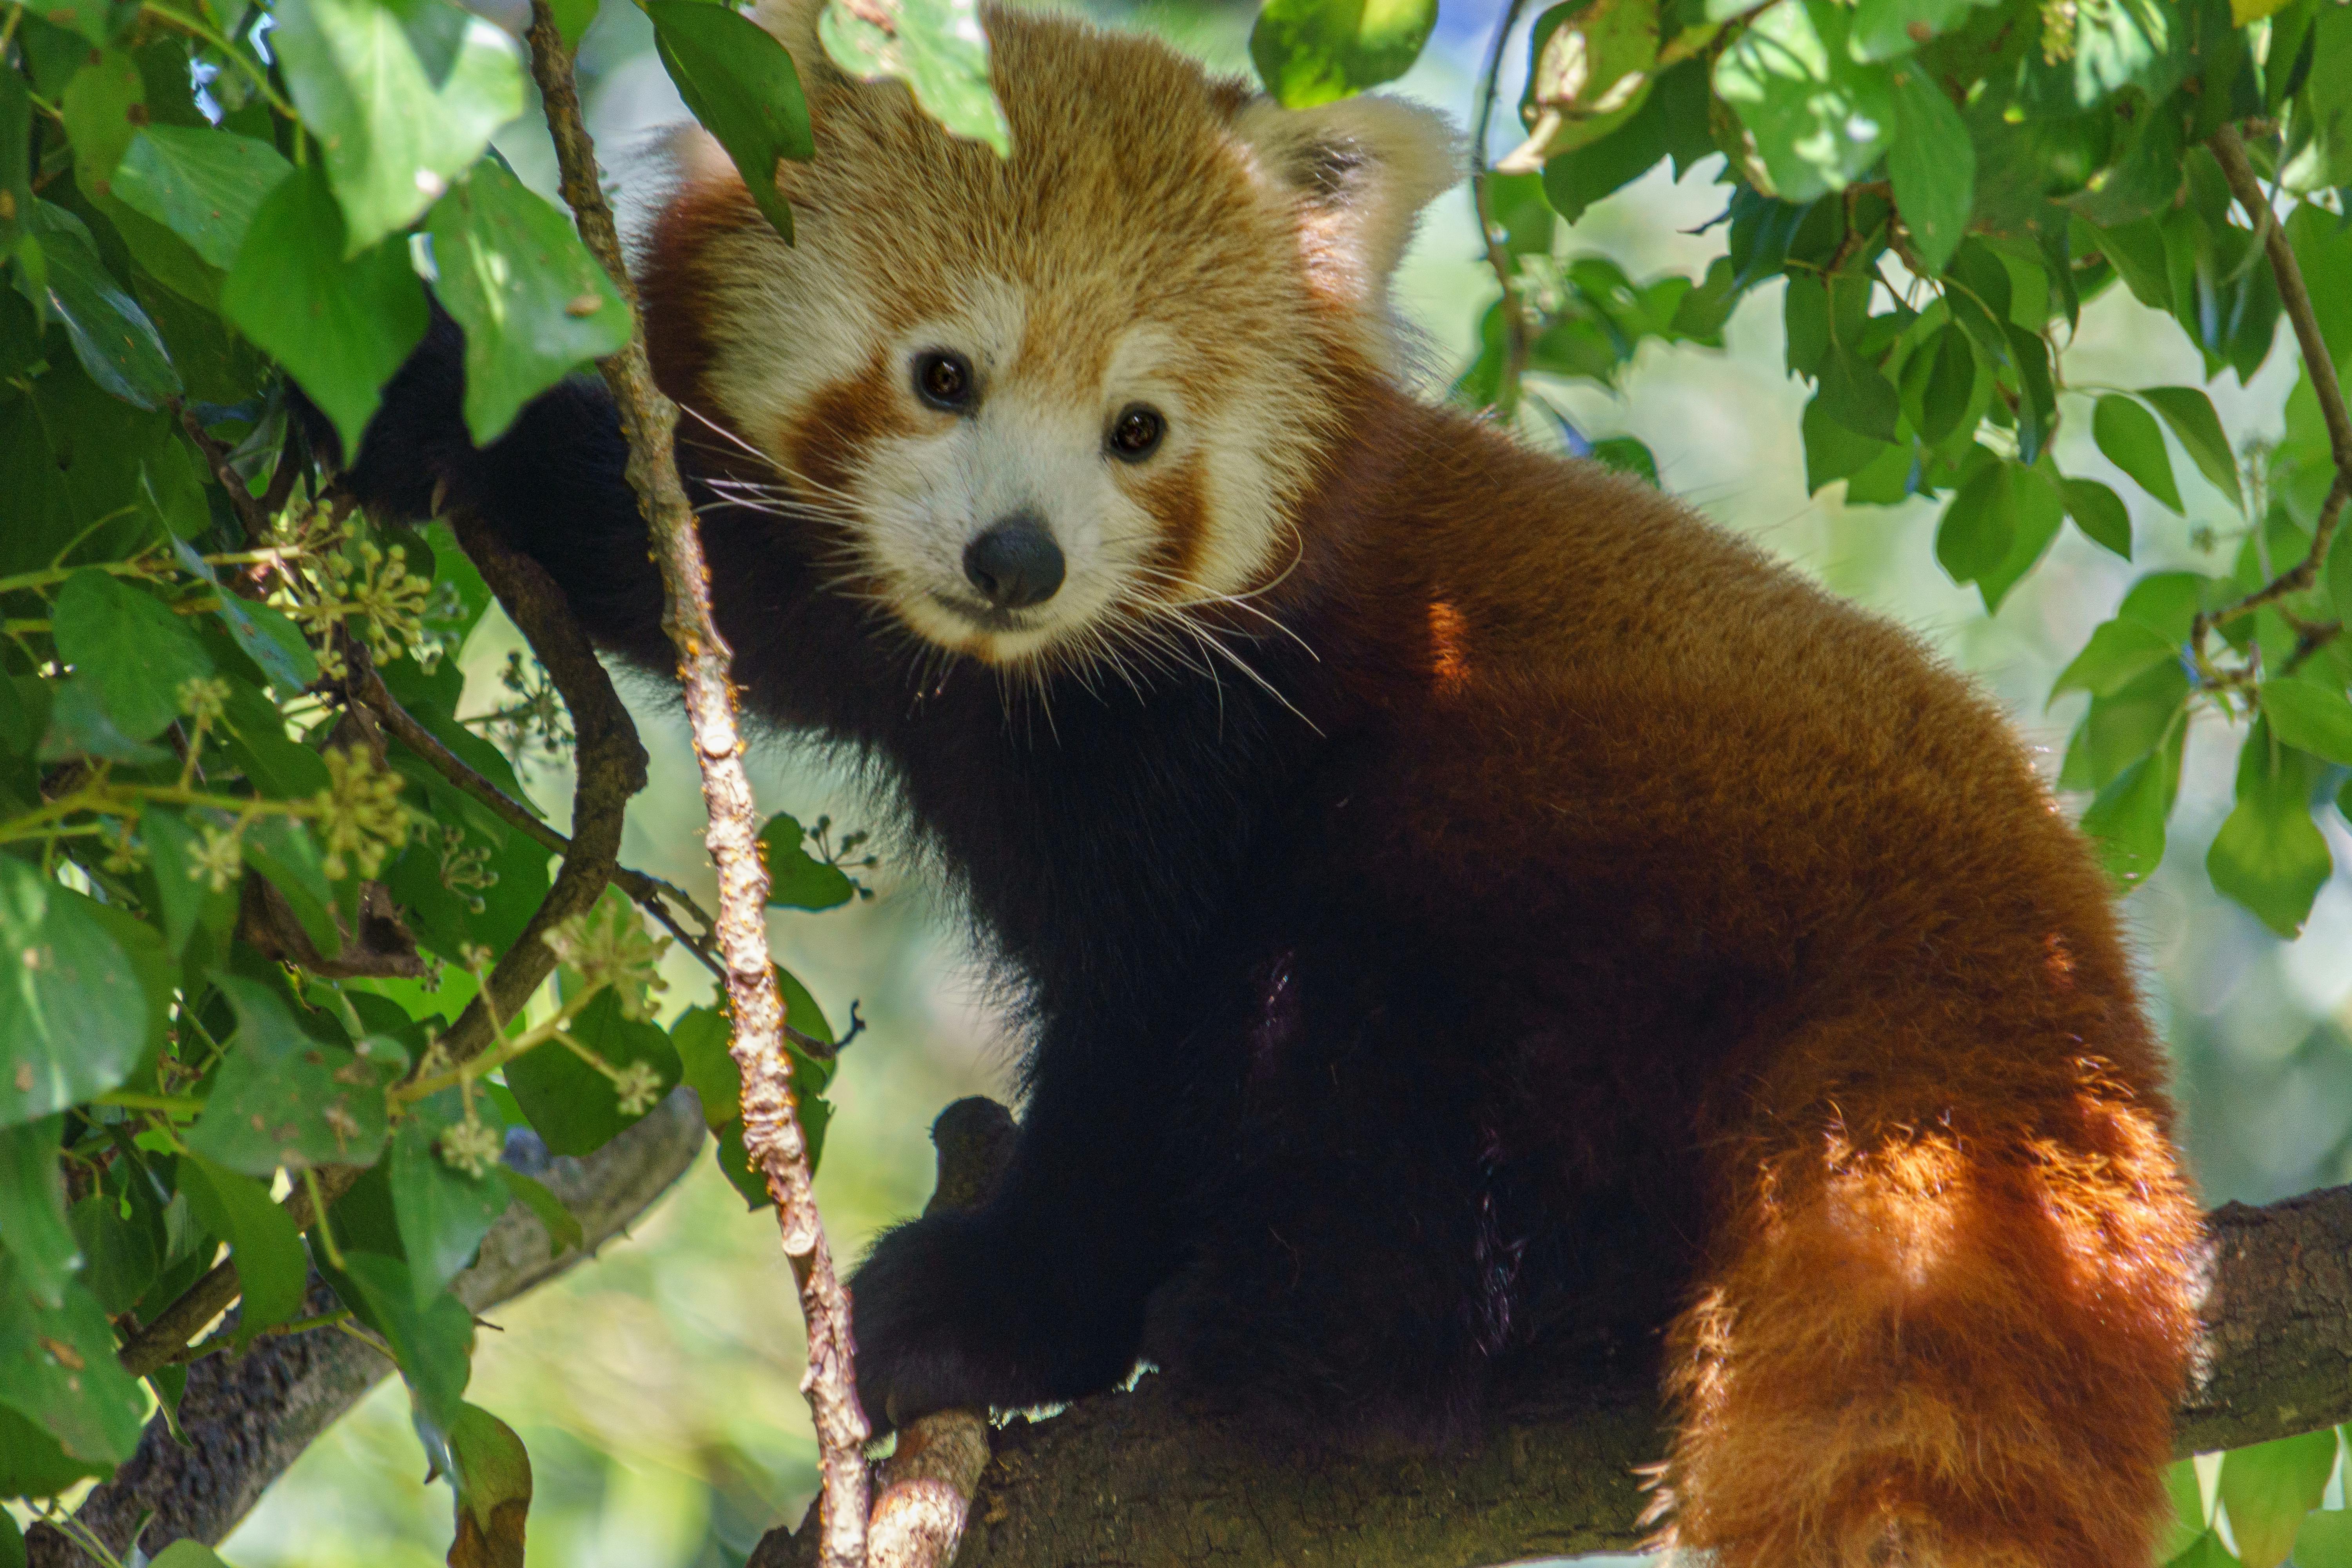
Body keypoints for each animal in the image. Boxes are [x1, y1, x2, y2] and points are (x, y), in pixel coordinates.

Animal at [332, 6, 2201, 1561]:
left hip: (1604, 822)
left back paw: (1306, 1341)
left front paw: (1003, 1309)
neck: (1030, 678)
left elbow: (1150, 1030)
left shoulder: (1213, 736)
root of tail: (2033, 946)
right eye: (942, 374)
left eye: (1139, 429)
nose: (1016, 558)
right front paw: (399, 396)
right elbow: (687, 559)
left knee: (1357, 973)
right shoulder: (873, 625)